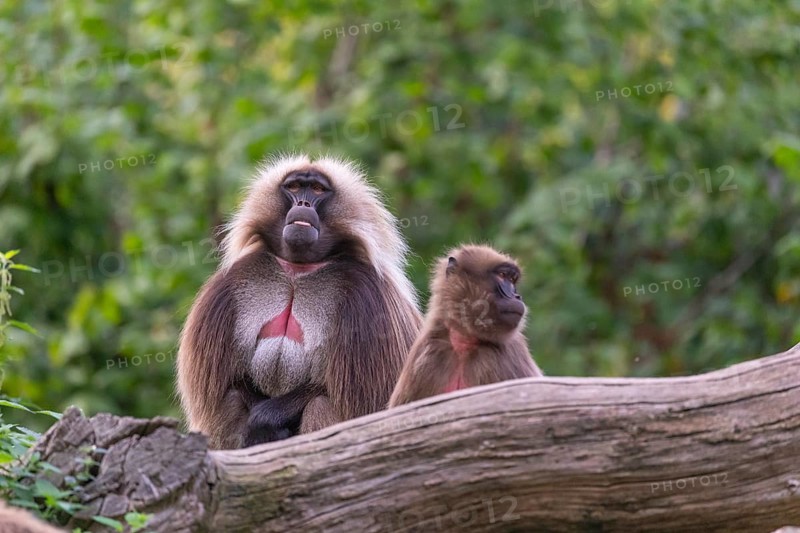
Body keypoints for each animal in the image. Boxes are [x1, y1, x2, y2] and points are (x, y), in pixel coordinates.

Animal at [177, 154, 423, 449]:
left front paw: (267, 419)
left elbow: (363, 403)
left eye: (317, 189)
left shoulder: (367, 297)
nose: (302, 205)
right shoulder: (233, 285)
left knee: (320, 405)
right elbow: (231, 385)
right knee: (232, 400)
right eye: (293, 187)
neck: (298, 270)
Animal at [389, 245, 542, 407]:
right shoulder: (425, 356)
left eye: (512, 280)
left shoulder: (505, 354)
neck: (464, 344)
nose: (517, 296)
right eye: (502, 275)